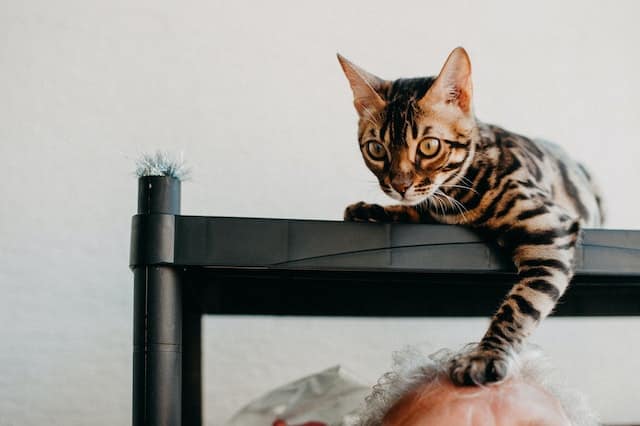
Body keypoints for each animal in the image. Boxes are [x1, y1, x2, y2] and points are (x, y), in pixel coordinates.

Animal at [338, 47, 604, 386]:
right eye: (376, 149)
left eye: (429, 146)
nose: (399, 185)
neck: (456, 201)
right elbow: (415, 209)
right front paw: (373, 210)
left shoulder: (550, 227)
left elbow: (520, 305)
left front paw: (485, 355)